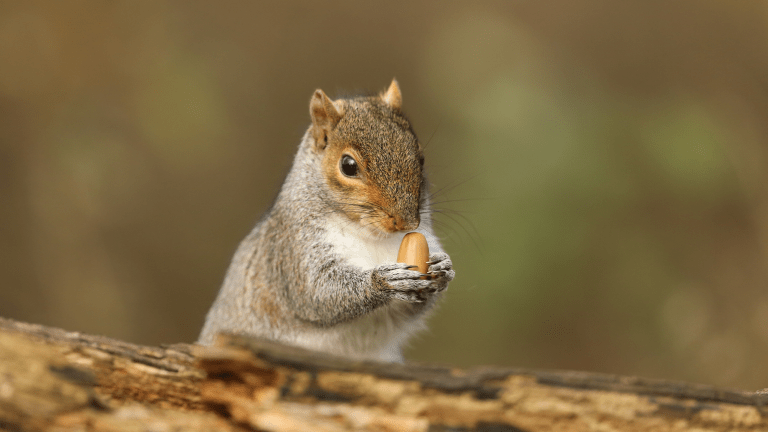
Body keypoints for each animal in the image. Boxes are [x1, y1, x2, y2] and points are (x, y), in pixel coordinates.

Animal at [198, 79, 455, 362]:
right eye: (348, 166)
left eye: (420, 158)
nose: (407, 223)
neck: (371, 234)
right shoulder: (294, 249)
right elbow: (317, 292)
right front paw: (384, 280)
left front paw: (443, 268)